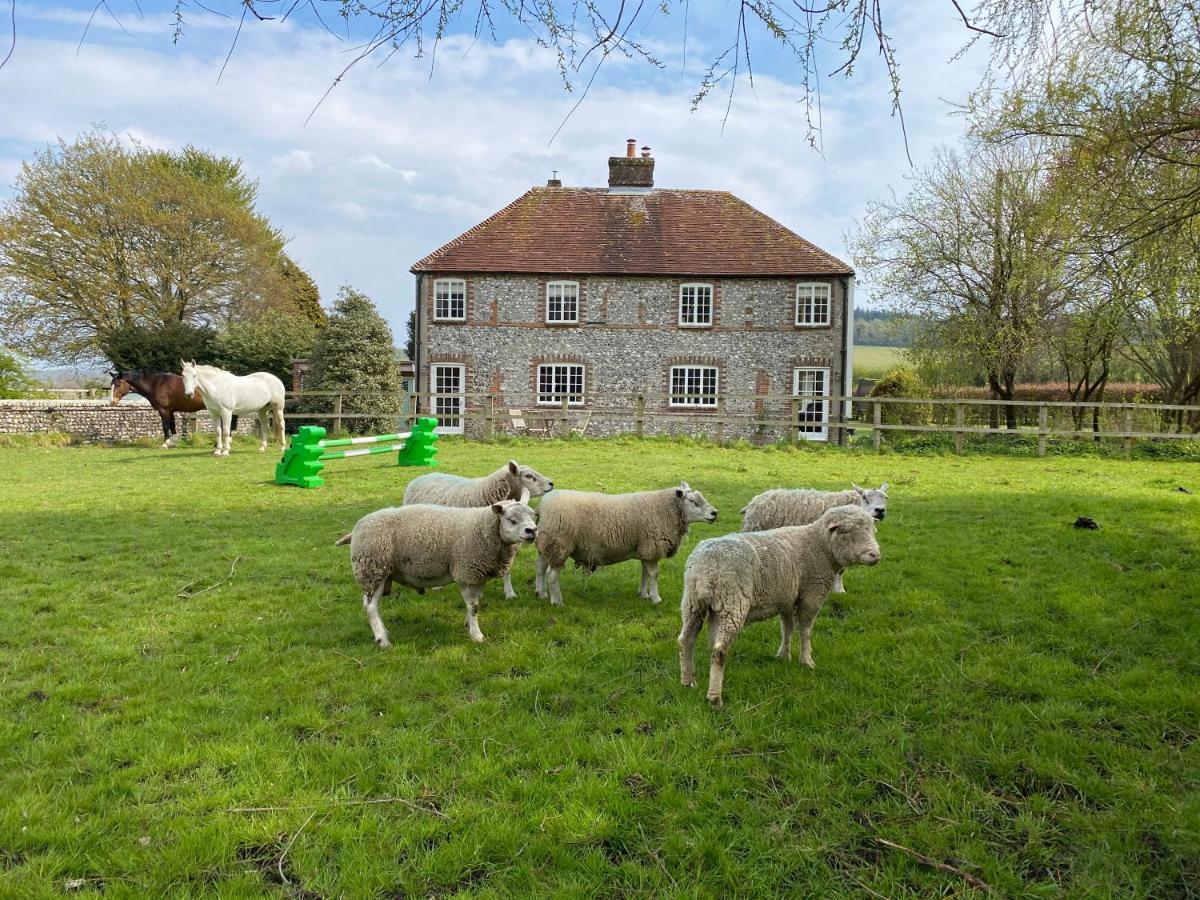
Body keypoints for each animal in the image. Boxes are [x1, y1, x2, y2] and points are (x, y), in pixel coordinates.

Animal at [336, 501, 537, 648]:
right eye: (511, 519)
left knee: (370, 605)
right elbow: (474, 607)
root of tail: (355, 530)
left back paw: (384, 633)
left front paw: (468, 625)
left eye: (534, 516)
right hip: (374, 569)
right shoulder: (465, 571)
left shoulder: (477, 576)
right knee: (370, 607)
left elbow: (474, 604)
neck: (483, 528)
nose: (532, 531)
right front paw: (477, 635)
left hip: (379, 573)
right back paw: (382, 640)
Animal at [403, 460, 552, 602]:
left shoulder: (507, 544)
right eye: (529, 476)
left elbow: (507, 570)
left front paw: (509, 593)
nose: (551, 483)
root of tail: (423, 476)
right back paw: (435, 586)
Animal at [532, 482, 715, 609]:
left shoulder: (645, 549)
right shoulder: (652, 546)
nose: (715, 513)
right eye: (693, 501)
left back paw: (541, 593)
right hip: (559, 545)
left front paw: (643, 594)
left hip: (547, 544)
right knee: (552, 575)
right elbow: (654, 574)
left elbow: (644, 572)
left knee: (540, 567)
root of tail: (542, 507)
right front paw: (656, 598)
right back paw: (557, 601)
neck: (668, 510)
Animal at [681, 508, 888, 705]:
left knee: (686, 640)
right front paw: (807, 661)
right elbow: (805, 630)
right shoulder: (812, 595)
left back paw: (688, 682)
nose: (875, 555)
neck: (818, 545)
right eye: (846, 531)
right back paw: (714, 698)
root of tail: (706, 568)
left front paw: (783, 656)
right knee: (719, 650)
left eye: (872, 529)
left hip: (695, 603)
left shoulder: (787, 599)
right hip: (733, 604)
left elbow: (787, 628)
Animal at [734, 482, 888, 595]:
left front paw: (839, 589)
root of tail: (755, 500)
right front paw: (838, 589)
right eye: (865, 498)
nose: (880, 511)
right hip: (754, 529)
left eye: (885, 499)